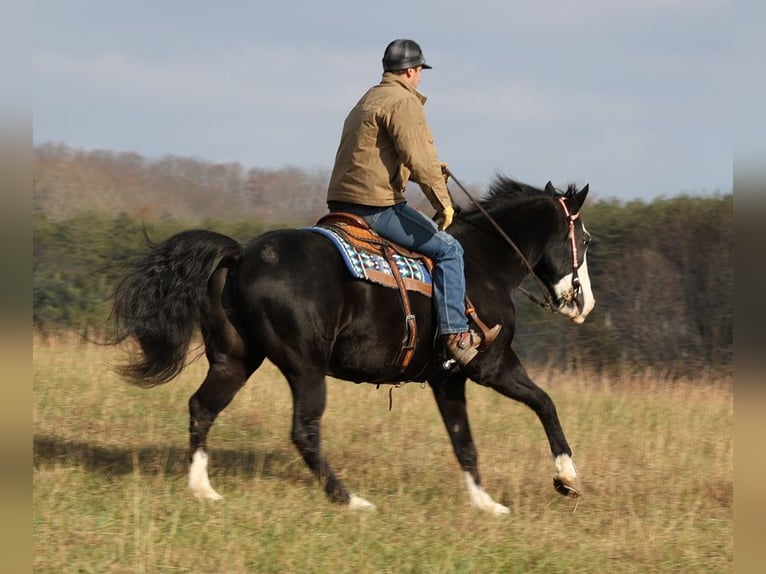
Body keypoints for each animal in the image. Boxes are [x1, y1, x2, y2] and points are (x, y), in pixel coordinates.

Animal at [111, 177, 596, 516]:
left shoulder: (448, 380)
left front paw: (486, 503)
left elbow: (464, 441)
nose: (583, 302)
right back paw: (349, 500)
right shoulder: (491, 366)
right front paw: (567, 478)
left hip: (235, 360)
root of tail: (241, 254)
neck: (483, 262)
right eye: (586, 240)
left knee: (202, 407)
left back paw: (203, 489)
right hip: (304, 367)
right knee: (303, 431)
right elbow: (544, 403)